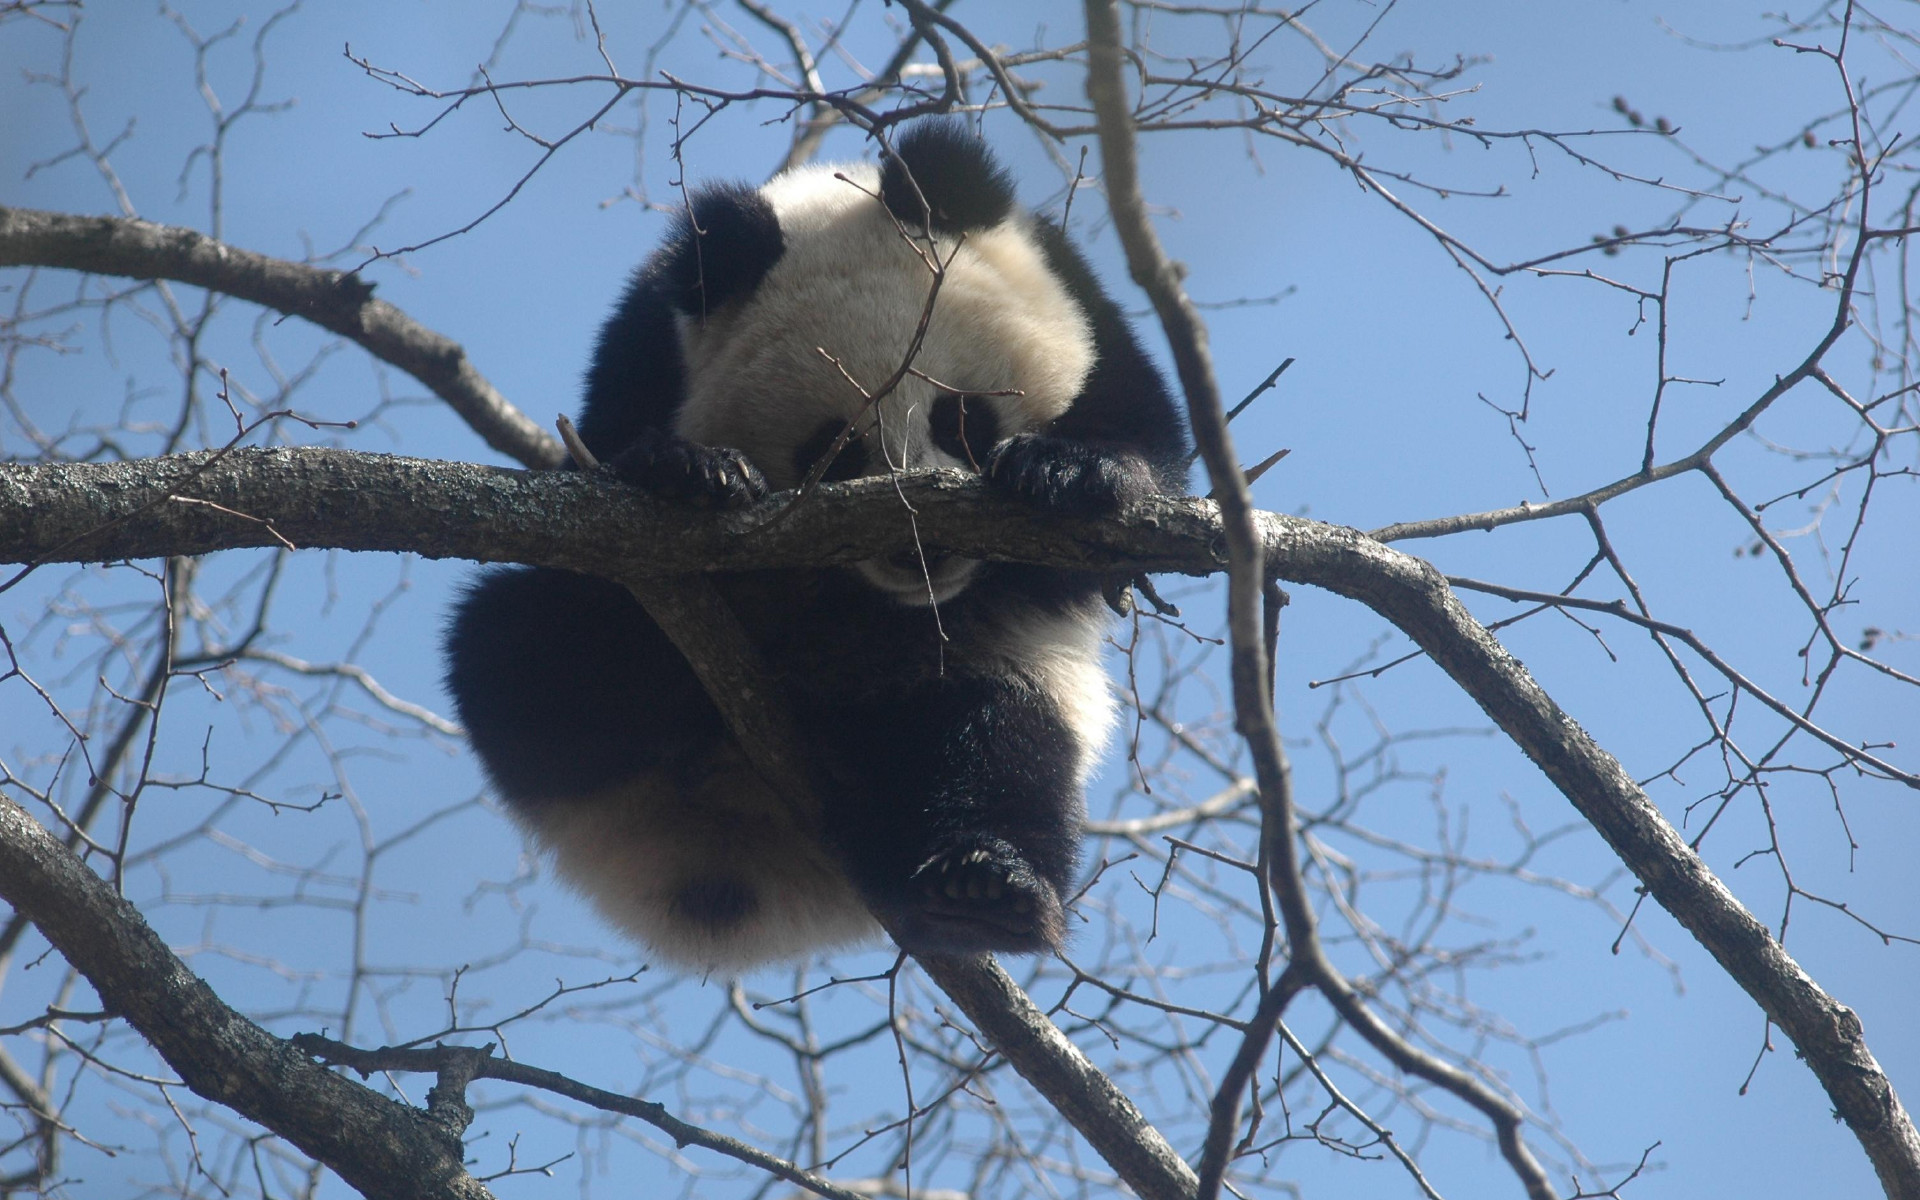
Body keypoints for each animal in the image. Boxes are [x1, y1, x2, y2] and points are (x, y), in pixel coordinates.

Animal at [445, 121, 1182, 967]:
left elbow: (1142, 452)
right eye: (834, 448)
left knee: (1002, 742)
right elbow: (607, 467)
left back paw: (984, 885)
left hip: (998, 677)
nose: (920, 551)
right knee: (525, 649)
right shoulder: (644, 355)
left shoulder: (1082, 311)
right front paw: (692, 472)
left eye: (960, 417)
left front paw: (1067, 472)